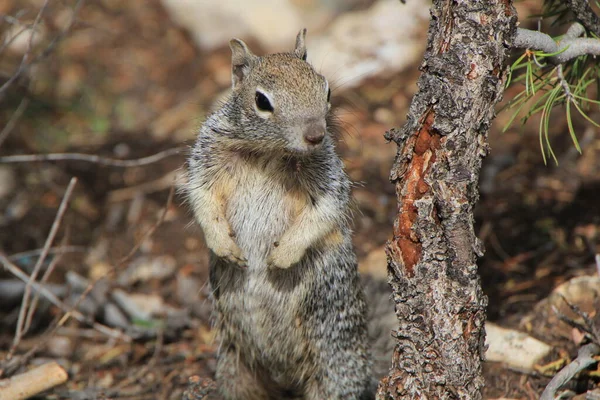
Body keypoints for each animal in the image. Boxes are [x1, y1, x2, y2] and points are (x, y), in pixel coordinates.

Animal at [188, 29, 394, 398]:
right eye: (262, 101)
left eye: (326, 90)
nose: (316, 135)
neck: (268, 153)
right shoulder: (207, 155)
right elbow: (202, 196)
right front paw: (223, 245)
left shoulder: (329, 178)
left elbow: (325, 211)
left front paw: (282, 256)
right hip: (236, 366)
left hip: (332, 365)